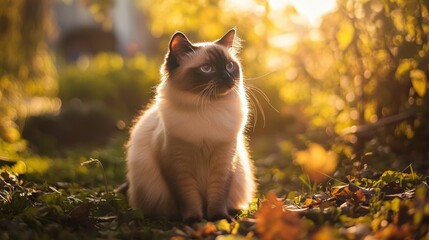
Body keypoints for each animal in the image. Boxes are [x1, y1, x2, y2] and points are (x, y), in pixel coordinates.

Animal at [126, 29, 254, 222]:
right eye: (207, 68)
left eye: (230, 66)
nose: (227, 77)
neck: (209, 108)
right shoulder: (178, 165)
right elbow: (188, 198)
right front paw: (194, 221)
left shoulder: (223, 161)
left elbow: (218, 196)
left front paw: (218, 219)